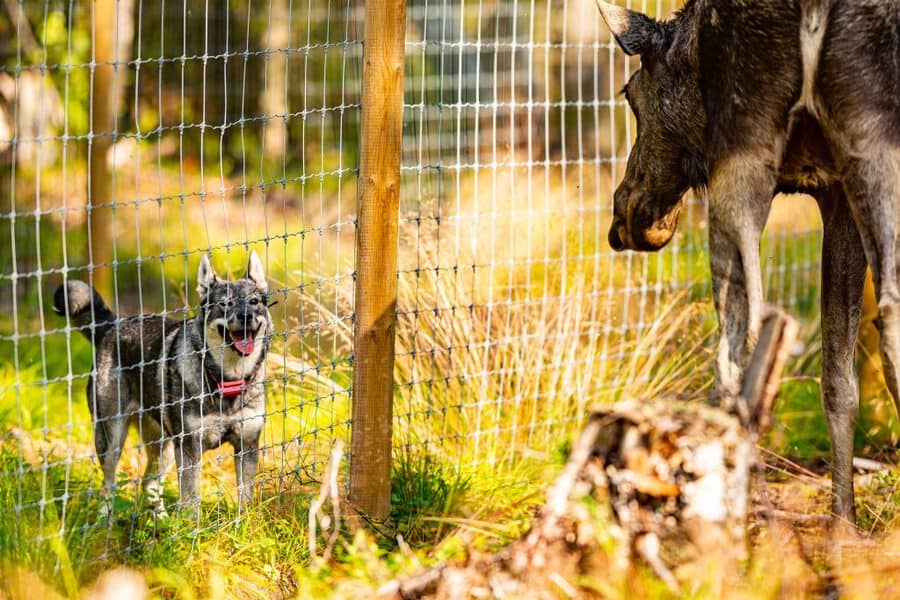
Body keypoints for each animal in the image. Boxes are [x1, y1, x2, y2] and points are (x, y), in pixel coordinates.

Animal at [54, 251, 272, 516]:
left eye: (254, 301)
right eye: (225, 304)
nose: (245, 317)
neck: (227, 379)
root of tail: (112, 326)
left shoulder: (246, 445)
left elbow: (245, 500)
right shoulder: (189, 448)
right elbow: (190, 501)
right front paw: (190, 527)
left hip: (164, 445)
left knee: (148, 483)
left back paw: (162, 519)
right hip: (113, 438)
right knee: (108, 482)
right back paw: (105, 517)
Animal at [596, 0, 900, 524]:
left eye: (630, 94)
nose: (624, 219)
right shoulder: (837, 188)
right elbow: (839, 380)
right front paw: (844, 523)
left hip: (740, 158)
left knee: (735, 355)